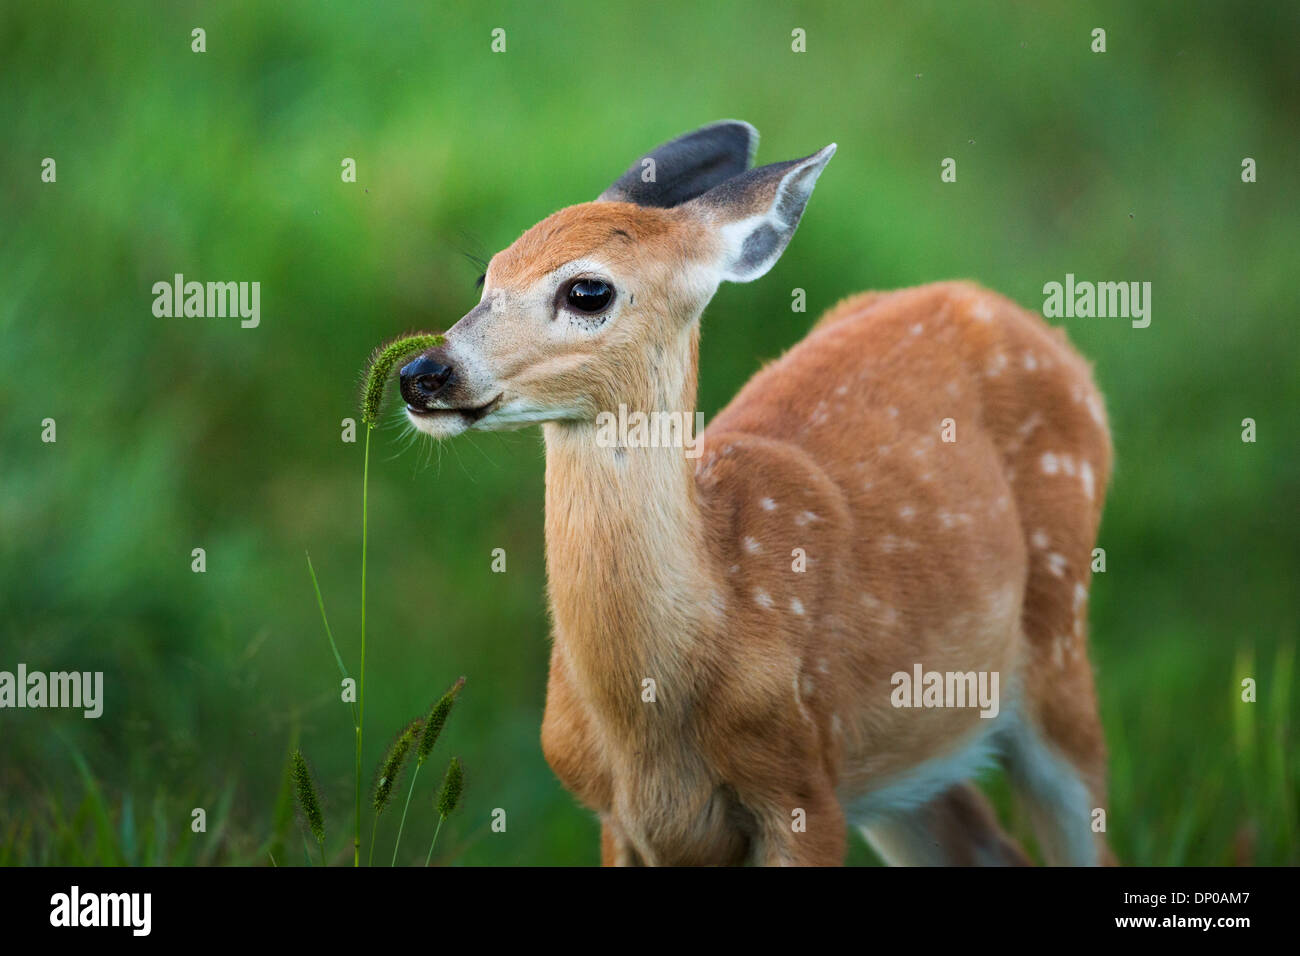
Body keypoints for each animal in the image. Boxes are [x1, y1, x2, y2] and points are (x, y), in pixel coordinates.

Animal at [399, 121, 1113, 866]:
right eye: (486, 276)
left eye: (588, 291)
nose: (422, 373)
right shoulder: (615, 817)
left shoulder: (802, 788)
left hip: (1058, 640)